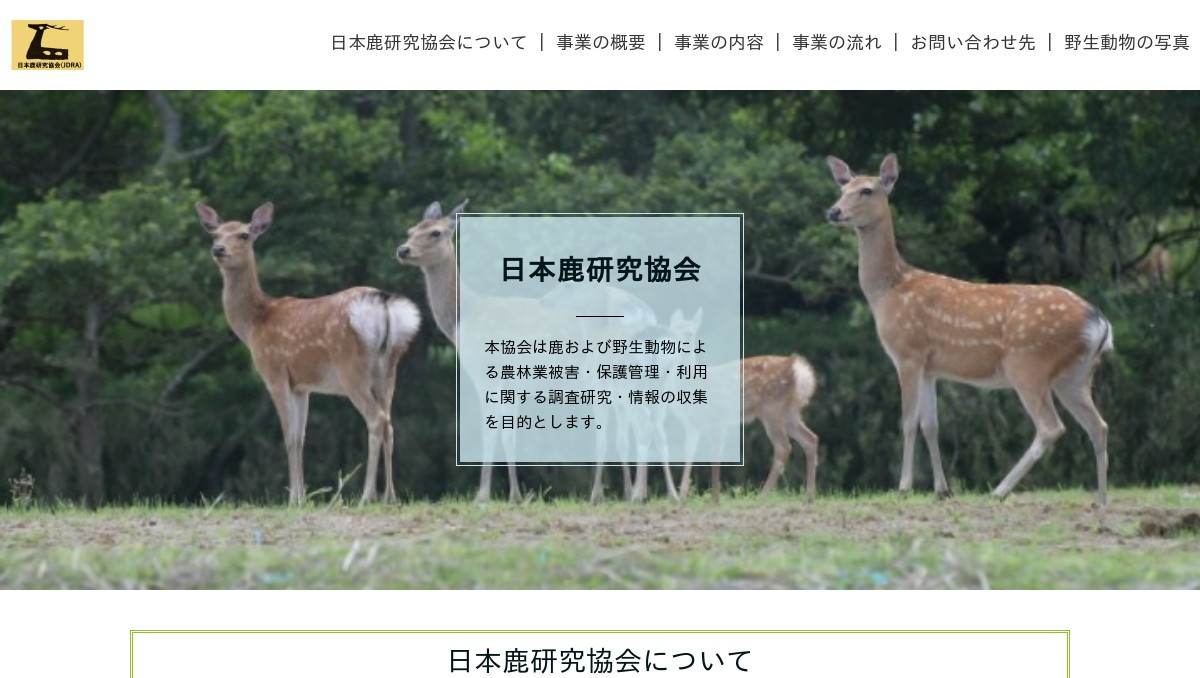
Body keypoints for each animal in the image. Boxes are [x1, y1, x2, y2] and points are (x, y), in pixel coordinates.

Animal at [196, 202, 420, 506]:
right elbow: (300, 437)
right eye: (215, 234)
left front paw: (294, 499)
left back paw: (366, 496)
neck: (254, 324)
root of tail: (383, 304)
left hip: (350, 365)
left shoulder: (275, 373)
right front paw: (302, 495)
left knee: (376, 419)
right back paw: (391, 497)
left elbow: (289, 436)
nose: (218, 249)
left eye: (244, 234)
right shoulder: (302, 386)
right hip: (388, 367)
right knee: (389, 423)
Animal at [677, 354, 820, 502]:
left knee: (783, 447)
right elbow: (689, 452)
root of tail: (800, 371)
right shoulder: (693, 425)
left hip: (772, 409)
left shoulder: (717, 419)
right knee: (810, 438)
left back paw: (762, 496)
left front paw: (715, 499)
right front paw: (681, 498)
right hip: (788, 413)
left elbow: (714, 455)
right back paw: (809, 496)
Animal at [824, 154, 1114, 505]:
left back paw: (999, 490)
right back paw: (1100, 500)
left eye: (867, 190)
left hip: (1028, 364)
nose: (833, 211)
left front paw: (904, 486)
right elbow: (930, 424)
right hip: (1075, 374)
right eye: (842, 188)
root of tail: (1100, 322)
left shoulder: (908, 353)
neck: (887, 292)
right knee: (1098, 425)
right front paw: (942, 489)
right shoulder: (931, 367)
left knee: (1051, 427)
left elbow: (907, 422)